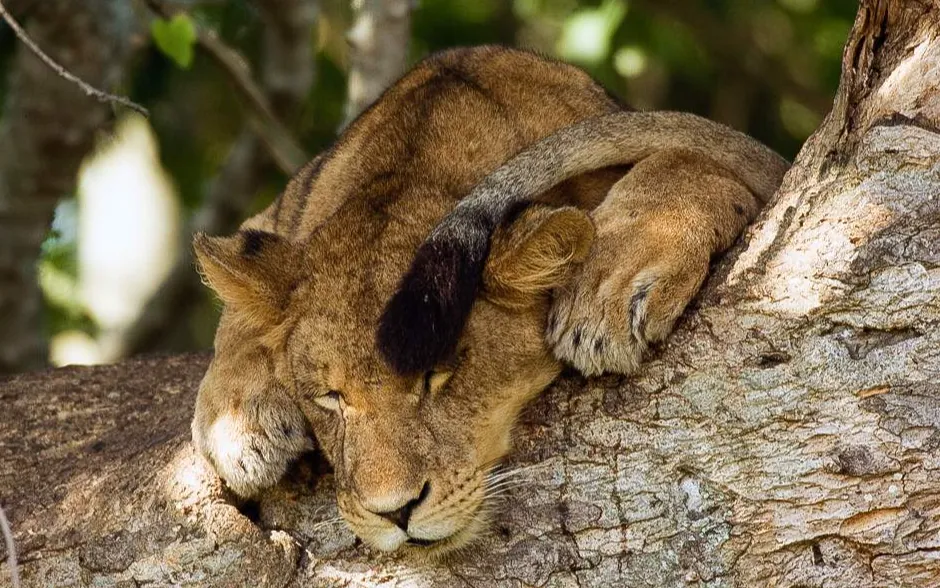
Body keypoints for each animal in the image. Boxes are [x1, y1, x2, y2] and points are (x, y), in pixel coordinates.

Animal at [190, 46, 788, 556]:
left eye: (436, 377)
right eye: (330, 397)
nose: (395, 513)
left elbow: (684, 160)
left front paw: (609, 288)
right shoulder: (274, 216)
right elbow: (235, 321)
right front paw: (240, 423)